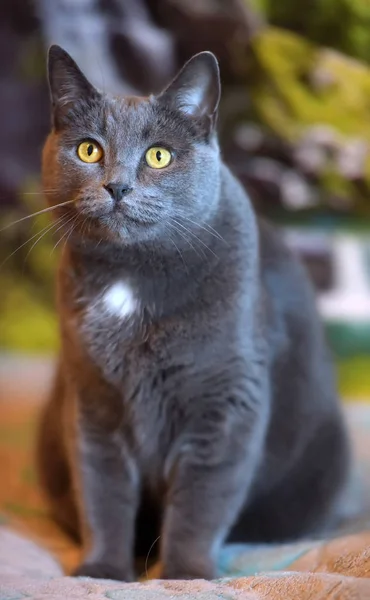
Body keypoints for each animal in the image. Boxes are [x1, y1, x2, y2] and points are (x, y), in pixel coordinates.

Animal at [36, 43, 350, 580]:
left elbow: (201, 502)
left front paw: (183, 576)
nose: (117, 186)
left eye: (159, 155)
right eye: (89, 150)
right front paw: (102, 570)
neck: (134, 276)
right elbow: (101, 490)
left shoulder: (225, 404)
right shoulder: (92, 400)